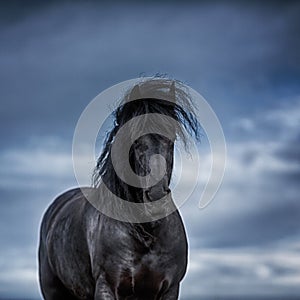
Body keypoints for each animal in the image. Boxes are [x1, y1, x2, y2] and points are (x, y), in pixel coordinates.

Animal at [38, 78, 200, 298]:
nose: (156, 196)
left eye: (171, 138)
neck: (146, 234)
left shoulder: (170, 289)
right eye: (137, 141)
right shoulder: (106, 286)